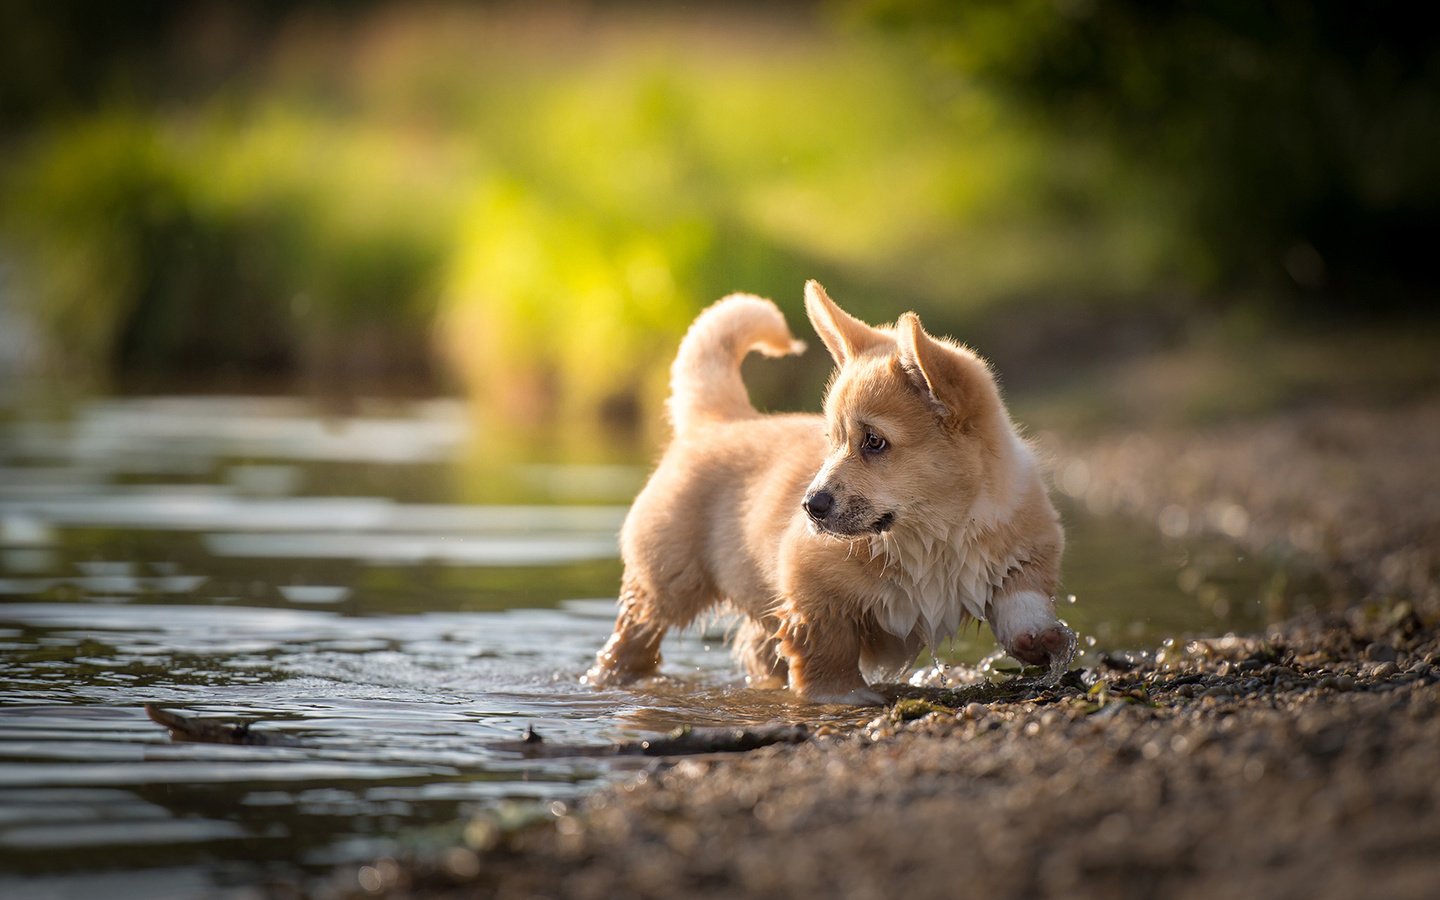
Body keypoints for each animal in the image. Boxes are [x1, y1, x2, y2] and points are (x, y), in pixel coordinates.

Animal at [584, 280, 1071, 702]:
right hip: (664, 581)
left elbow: (1022, 603)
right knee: (633, 638)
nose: (809, 507)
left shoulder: (1025, 553)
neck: (934, 537)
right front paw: (841, 696)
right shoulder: (811, 592)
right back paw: (609, 678)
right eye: (832, 440)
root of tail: (719, 420)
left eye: (874, 441)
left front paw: (1043, 640)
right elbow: (828, 650)